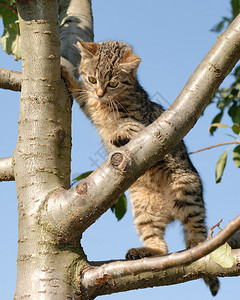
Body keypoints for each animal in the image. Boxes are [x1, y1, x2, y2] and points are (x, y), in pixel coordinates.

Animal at [61, 39, 219, 296]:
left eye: (113, 83)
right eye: (92, 79)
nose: (100, 93)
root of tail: (169, 211)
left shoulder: (141, 119)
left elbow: (129, 125)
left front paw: (118, 134)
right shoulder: (89, 103)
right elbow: (80, 93)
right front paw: (66, 74)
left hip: (186, 190)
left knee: (198, 227)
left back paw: (196, 243)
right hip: (143, 208)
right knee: (161, 246)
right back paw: (147, 251)